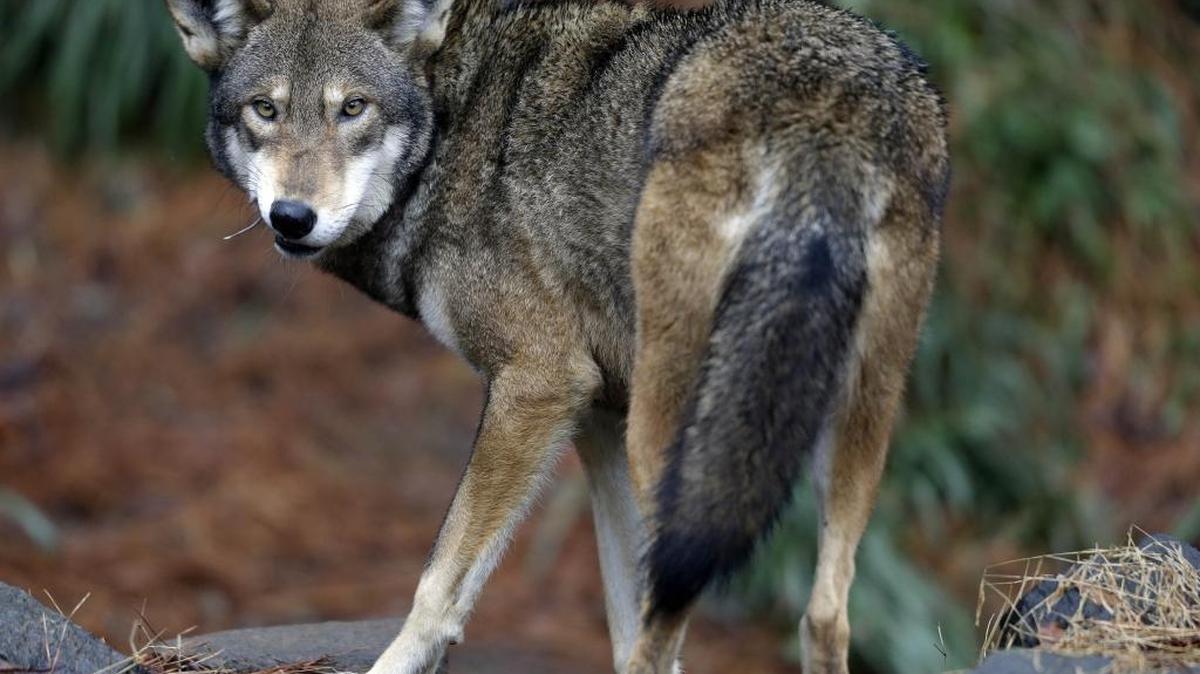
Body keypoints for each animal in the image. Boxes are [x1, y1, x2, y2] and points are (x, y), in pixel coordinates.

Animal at [165, 0, 948, 671]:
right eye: (265, 110)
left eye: (352, 108)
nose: (292, 217)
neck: (452, 120)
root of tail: (826, 106)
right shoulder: (598, 419)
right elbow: (624, 617)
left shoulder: (539, 386)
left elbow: (439, 586)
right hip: (845, 426)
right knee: (823, 616)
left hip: (676, 436)